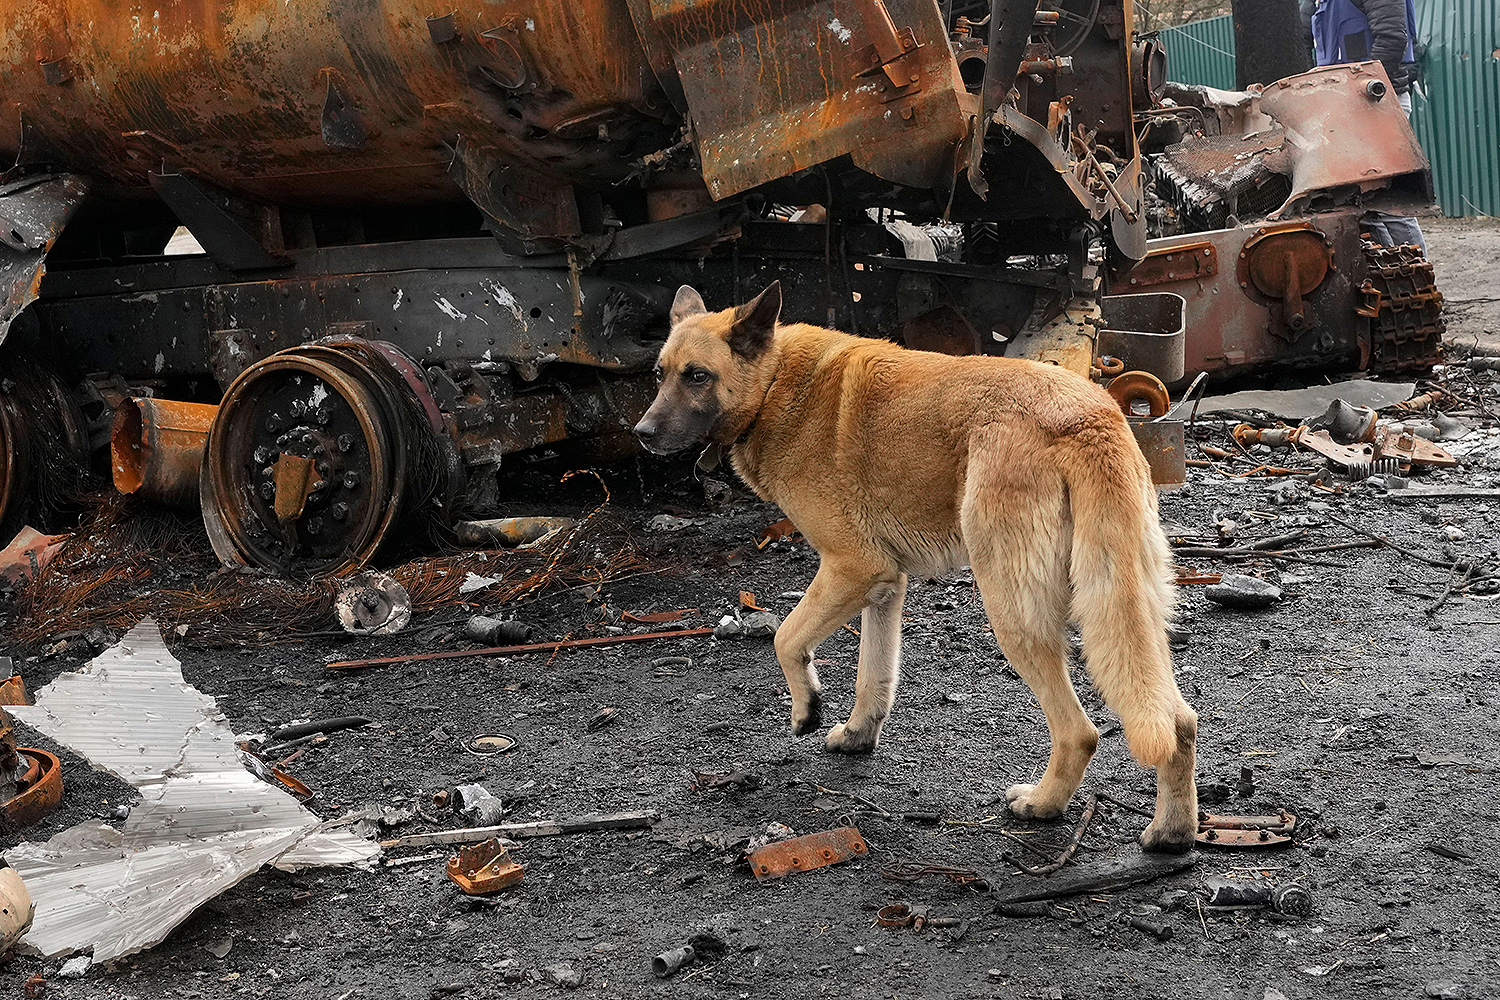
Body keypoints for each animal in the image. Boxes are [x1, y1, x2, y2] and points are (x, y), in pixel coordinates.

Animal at [639, 280, 1200, 851]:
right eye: (660, 374)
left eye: (698, 376)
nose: (642, 432)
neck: (775, 381)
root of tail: (1088, 419)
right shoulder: (884, 585)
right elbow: (873, 676)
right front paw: (857, 733)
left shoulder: (852, 568)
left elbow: (786, 638)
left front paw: (807, 707)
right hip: (1132, 607)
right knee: (1177, 722)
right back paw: (1173, 830)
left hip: (1016, 615)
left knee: (1080, 732)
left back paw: (1043, 804)